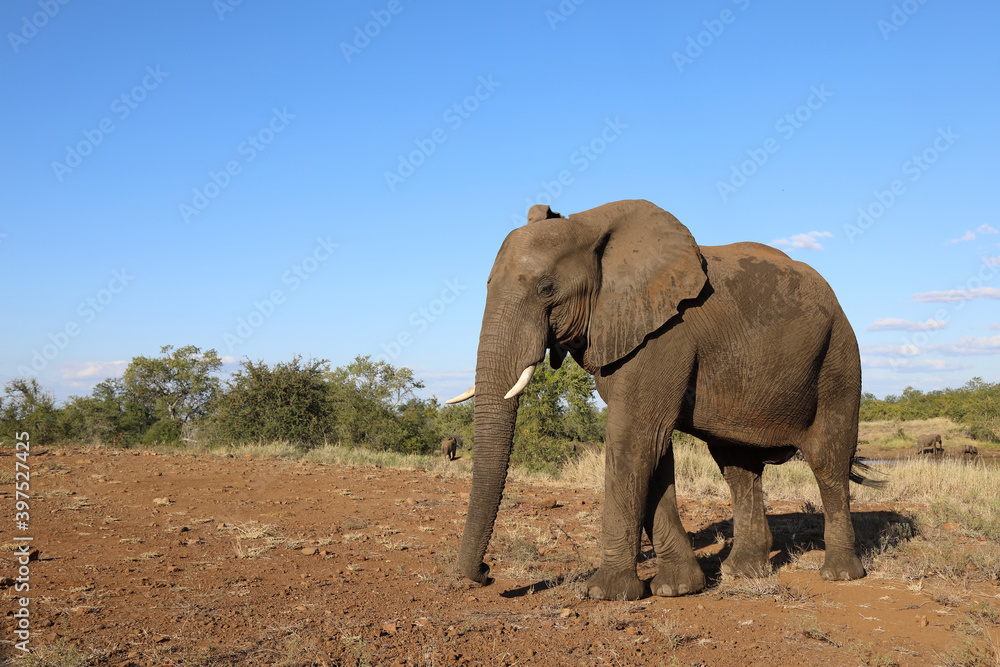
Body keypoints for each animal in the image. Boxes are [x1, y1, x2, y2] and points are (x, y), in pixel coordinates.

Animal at [448, 201, 884, 604]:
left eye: (546, 289)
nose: (486, 574)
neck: (589, 227)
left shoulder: (664, 333)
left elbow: (635, 438)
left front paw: (605, 594)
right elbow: (654, 448)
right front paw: (678, 588)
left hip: (839, 356)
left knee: (828, 459)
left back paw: (839, 575)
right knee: (737, 467)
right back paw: (744, 572)